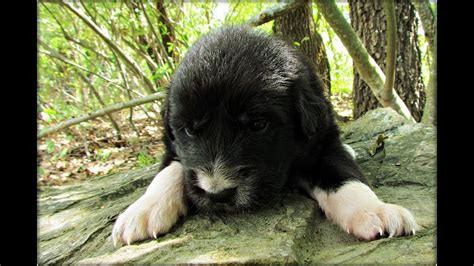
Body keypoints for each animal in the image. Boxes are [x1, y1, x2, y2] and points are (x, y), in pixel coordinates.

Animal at [112, 26, 418, 246]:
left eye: (258, 125)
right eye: (188, 130)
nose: (218, 194)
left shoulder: (321, 144)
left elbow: (345, 176)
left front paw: (375, 210)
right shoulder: (174, 148)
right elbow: (170, 171)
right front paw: (143, 210)